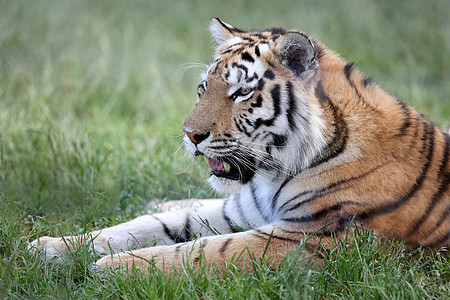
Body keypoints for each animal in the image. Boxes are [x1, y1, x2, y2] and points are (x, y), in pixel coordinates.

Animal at [29, 17, 448, 274]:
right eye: (203, 88)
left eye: (242, 92)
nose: (190, 134)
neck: (275, 175)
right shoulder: (240, 210)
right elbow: (144, 225)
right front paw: (51, 246)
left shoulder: (308, 238)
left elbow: (203, 250)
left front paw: (114, 268)